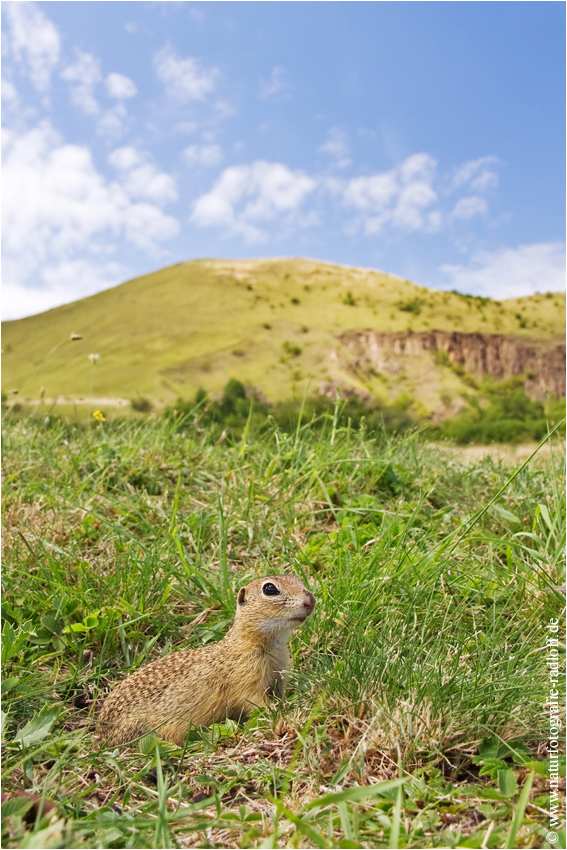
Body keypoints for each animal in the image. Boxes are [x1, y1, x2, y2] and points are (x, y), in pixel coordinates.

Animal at [96, 572, 316, 744]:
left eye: (297, 579)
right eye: (270, 589)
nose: (311, 600)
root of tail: (100, 737)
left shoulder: (278, 675)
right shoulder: (245, 680)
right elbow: (255, 701)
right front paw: (278, 713)